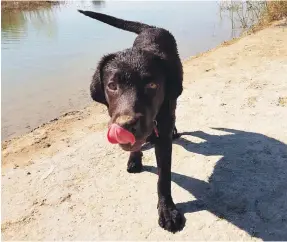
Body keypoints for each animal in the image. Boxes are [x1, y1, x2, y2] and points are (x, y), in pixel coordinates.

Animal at [79, 9, 184, 233]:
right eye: (112, 85)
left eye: (152, 85)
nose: (126, 125)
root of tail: (152, 28)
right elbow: (136, 146)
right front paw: (134, 158)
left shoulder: (163, 138)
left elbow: (164, 177)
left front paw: (167, 210)